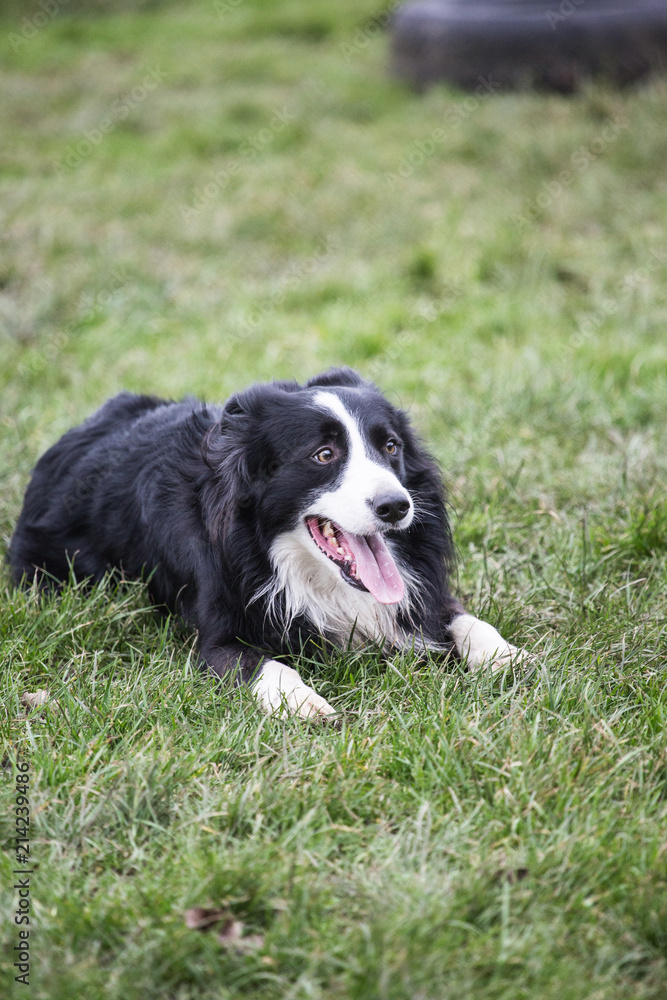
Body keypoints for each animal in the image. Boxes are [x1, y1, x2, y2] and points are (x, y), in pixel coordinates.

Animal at [7, 368, 524, 720]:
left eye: (391, 447)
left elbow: (464, 619)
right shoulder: (220, 620)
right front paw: (310, 707)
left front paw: (511, 659)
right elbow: (262, 663)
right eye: (323, 455)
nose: (395, 506)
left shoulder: (420, 590)